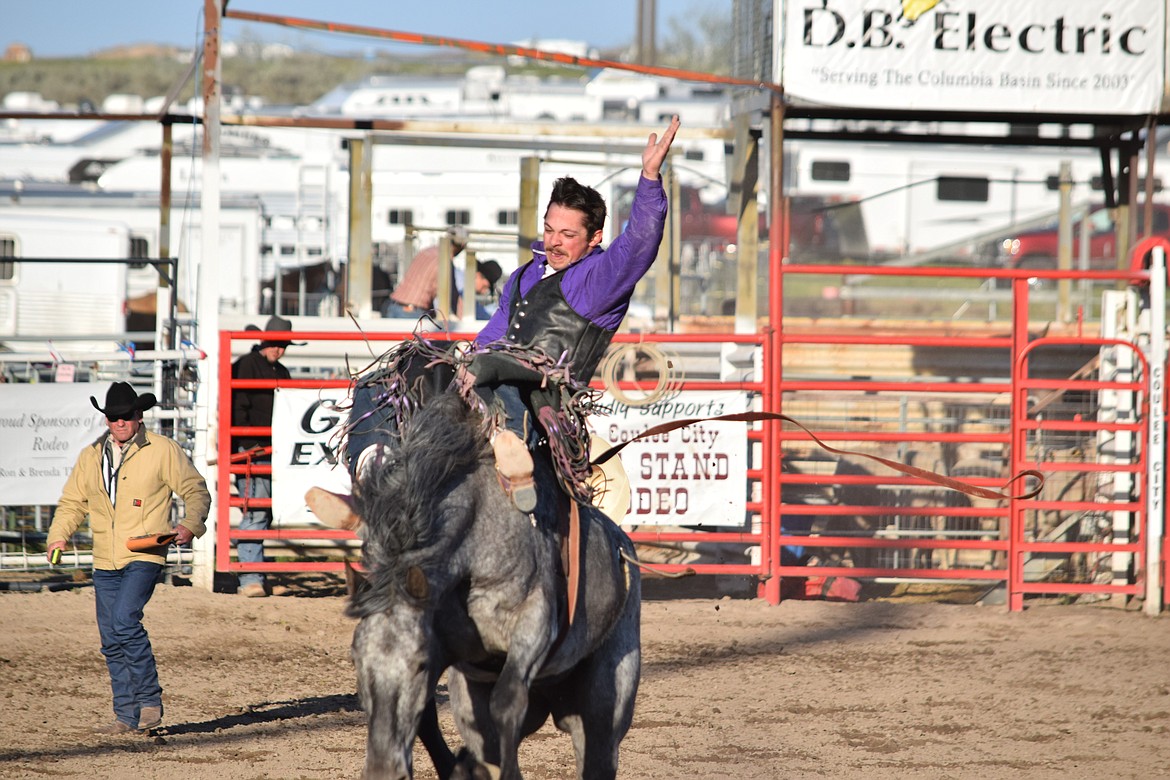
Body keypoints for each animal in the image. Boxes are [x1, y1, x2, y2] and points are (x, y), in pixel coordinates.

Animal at [346, 392, 641, 780]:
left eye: (420, 664)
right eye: (356, 661)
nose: (382, 770)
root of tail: (622, 545)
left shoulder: (533, 624)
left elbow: (506, 701)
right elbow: (431, 719)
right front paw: (459, 766)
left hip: (603, 712)